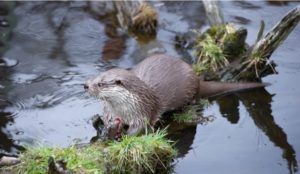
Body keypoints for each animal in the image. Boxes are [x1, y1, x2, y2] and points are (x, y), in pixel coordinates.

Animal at [85, 53, 264, 138]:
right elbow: (106, 121)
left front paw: (123, 136)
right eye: (95, 77)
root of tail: (198, 80)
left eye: (100, 84)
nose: (86, 85)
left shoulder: (143, 111)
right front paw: (107, 129)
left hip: (190, 91)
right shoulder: (111, 111)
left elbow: (140, 129)